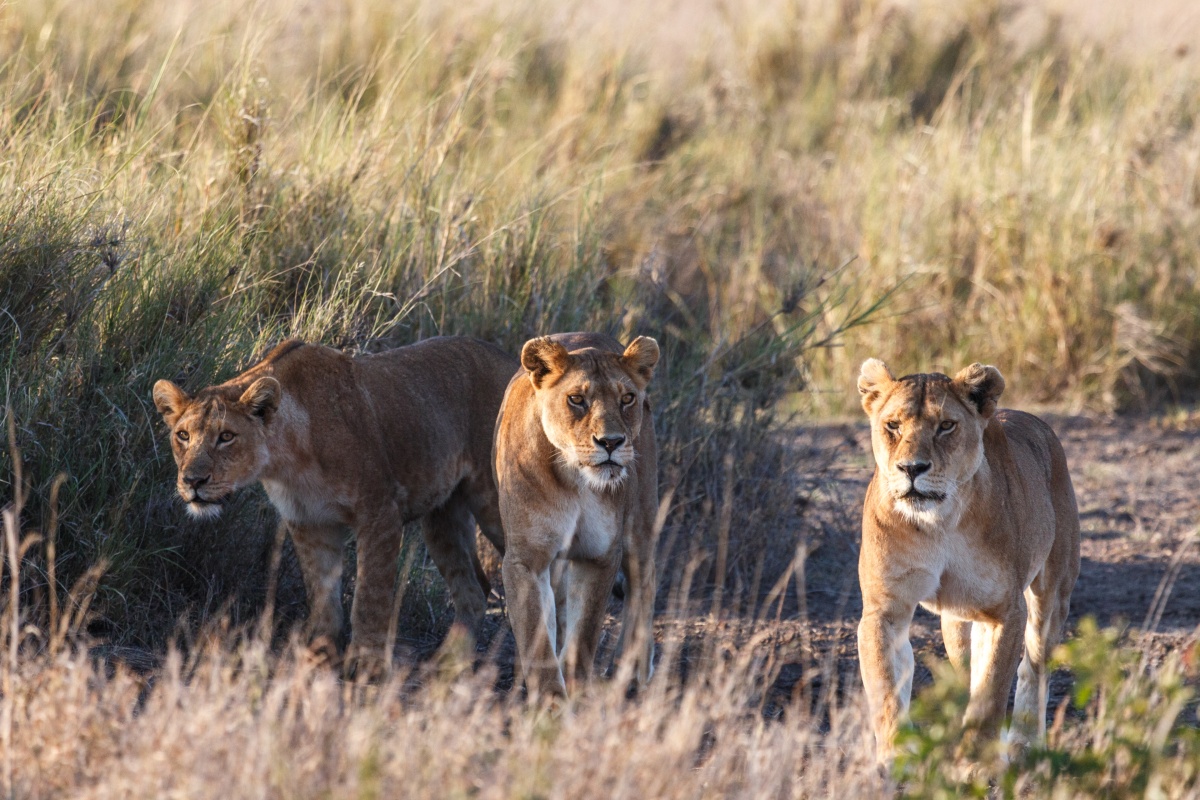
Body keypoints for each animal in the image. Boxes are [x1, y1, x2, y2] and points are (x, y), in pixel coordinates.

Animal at [150, 340, 516, 671]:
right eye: (183, 436)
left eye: (226, 436)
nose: (193, 481)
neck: (288, 462)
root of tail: (509, 359)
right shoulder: (310, 523)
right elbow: (323, 598)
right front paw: (319, 659)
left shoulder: (380, 514)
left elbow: (369, 597)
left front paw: (366, 664)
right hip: (443, 517)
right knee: (473, 589)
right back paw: (446, 666)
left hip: (495, 506)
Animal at [492, 331, 662, 695]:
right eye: (576, 399)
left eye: (627, 398)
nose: (611, 442)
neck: (574, 479)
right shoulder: (526, 559)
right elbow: (538, 637)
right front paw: (549, 700)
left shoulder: (599, 556)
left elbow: (583, 637)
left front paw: (576, 694)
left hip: (640, 523)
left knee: (644, 586)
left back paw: (633, 672)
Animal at [859, 359, 1084, 762]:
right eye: (893, 425)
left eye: (946, 425)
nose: (911, 468)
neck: (938, 522)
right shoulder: (883, 609)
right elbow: (887, 687)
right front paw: (896, 756)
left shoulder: (1004, 611)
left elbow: (991, 690)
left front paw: (975, 763)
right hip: (957, 617)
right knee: (966, 666)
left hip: (1052, 593)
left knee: (1034, 666)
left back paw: (1024, 742)